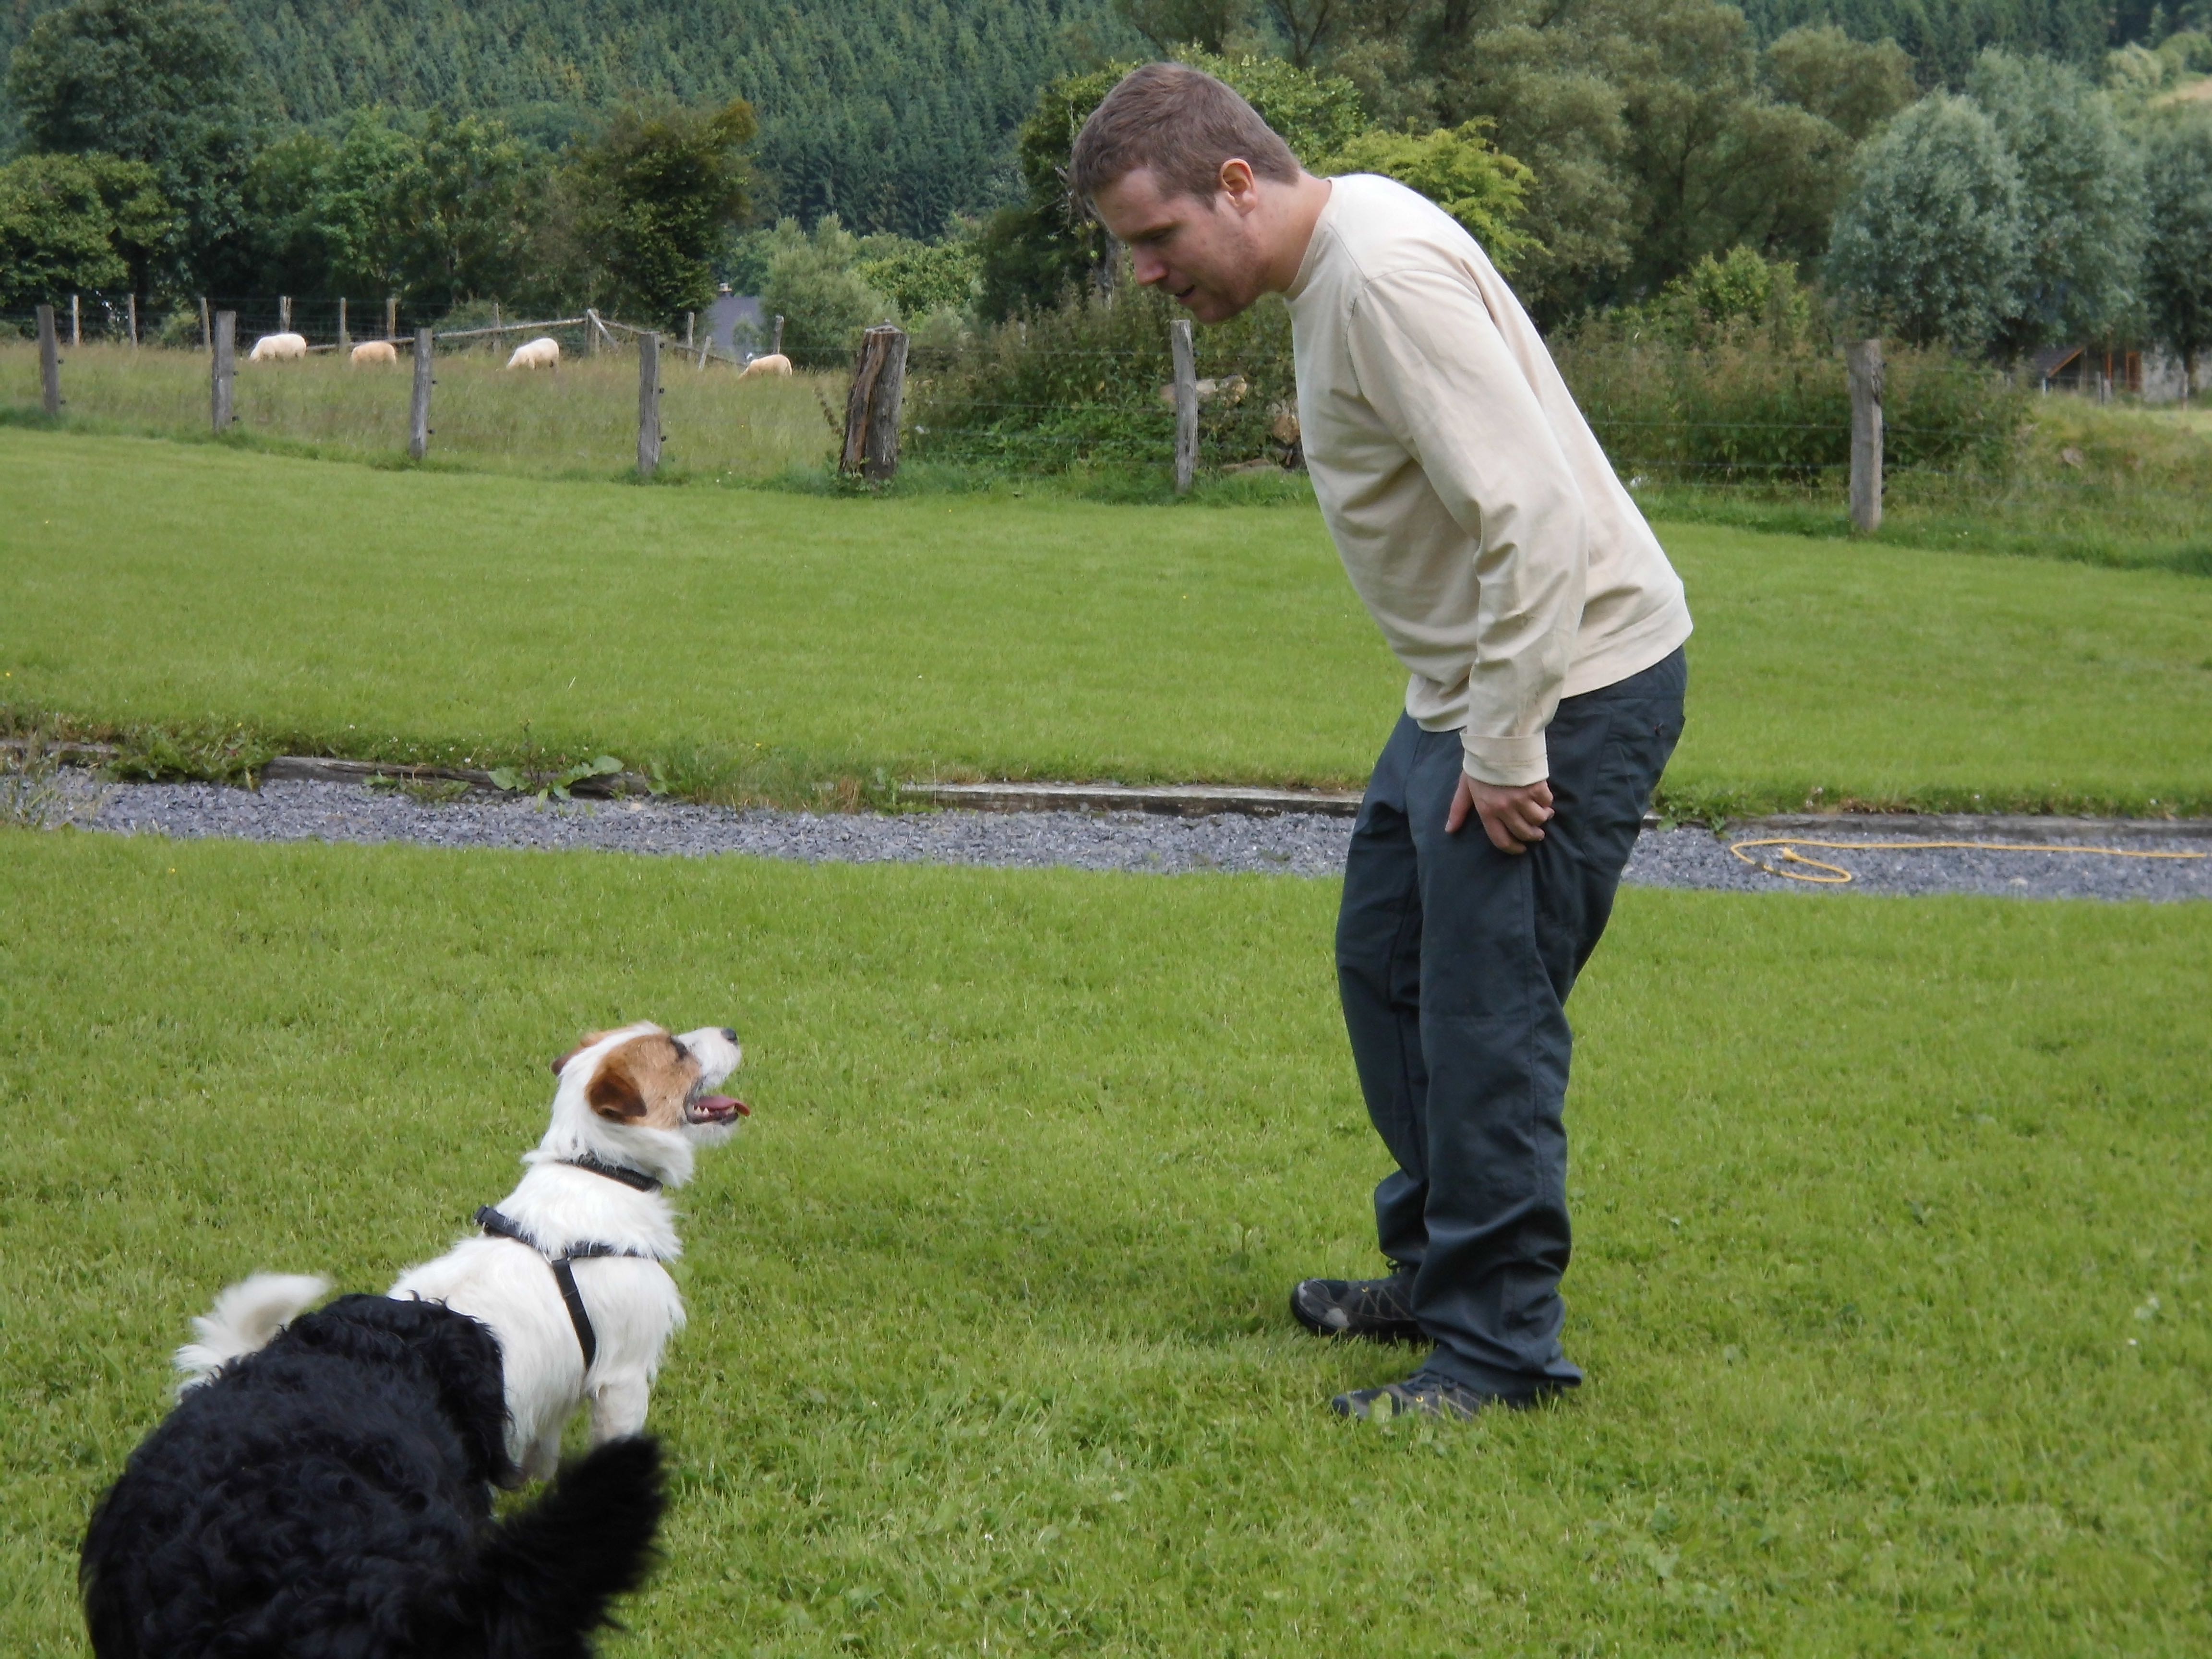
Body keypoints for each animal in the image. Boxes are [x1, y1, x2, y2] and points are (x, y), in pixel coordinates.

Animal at [79, 1022, 746, 1658]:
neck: (598, 1171)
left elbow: (543, 1456)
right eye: (677, 1049)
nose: (734, 1033)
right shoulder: (622, 1379)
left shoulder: (555, 1395)